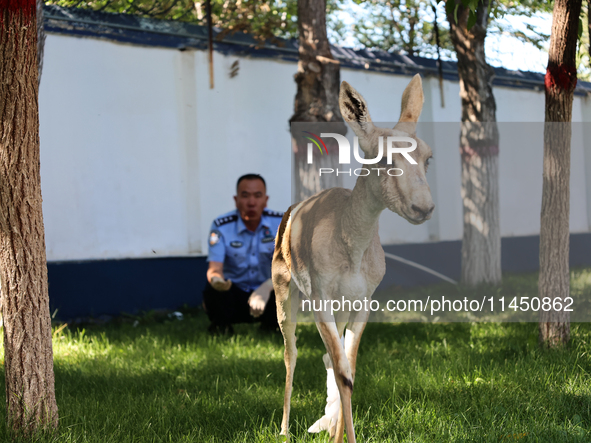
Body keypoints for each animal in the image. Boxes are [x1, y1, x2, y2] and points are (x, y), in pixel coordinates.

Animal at [272, 75, 434, 443]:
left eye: (428, 158)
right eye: (384, 158)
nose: (423, 207)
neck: (352, 251)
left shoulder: (363, 304)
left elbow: (350, 368)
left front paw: (339, 434)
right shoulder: (321, 301)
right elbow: (343, 371)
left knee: (329, 360)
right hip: (286, 297)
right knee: (291, 354)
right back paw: (286, 430)